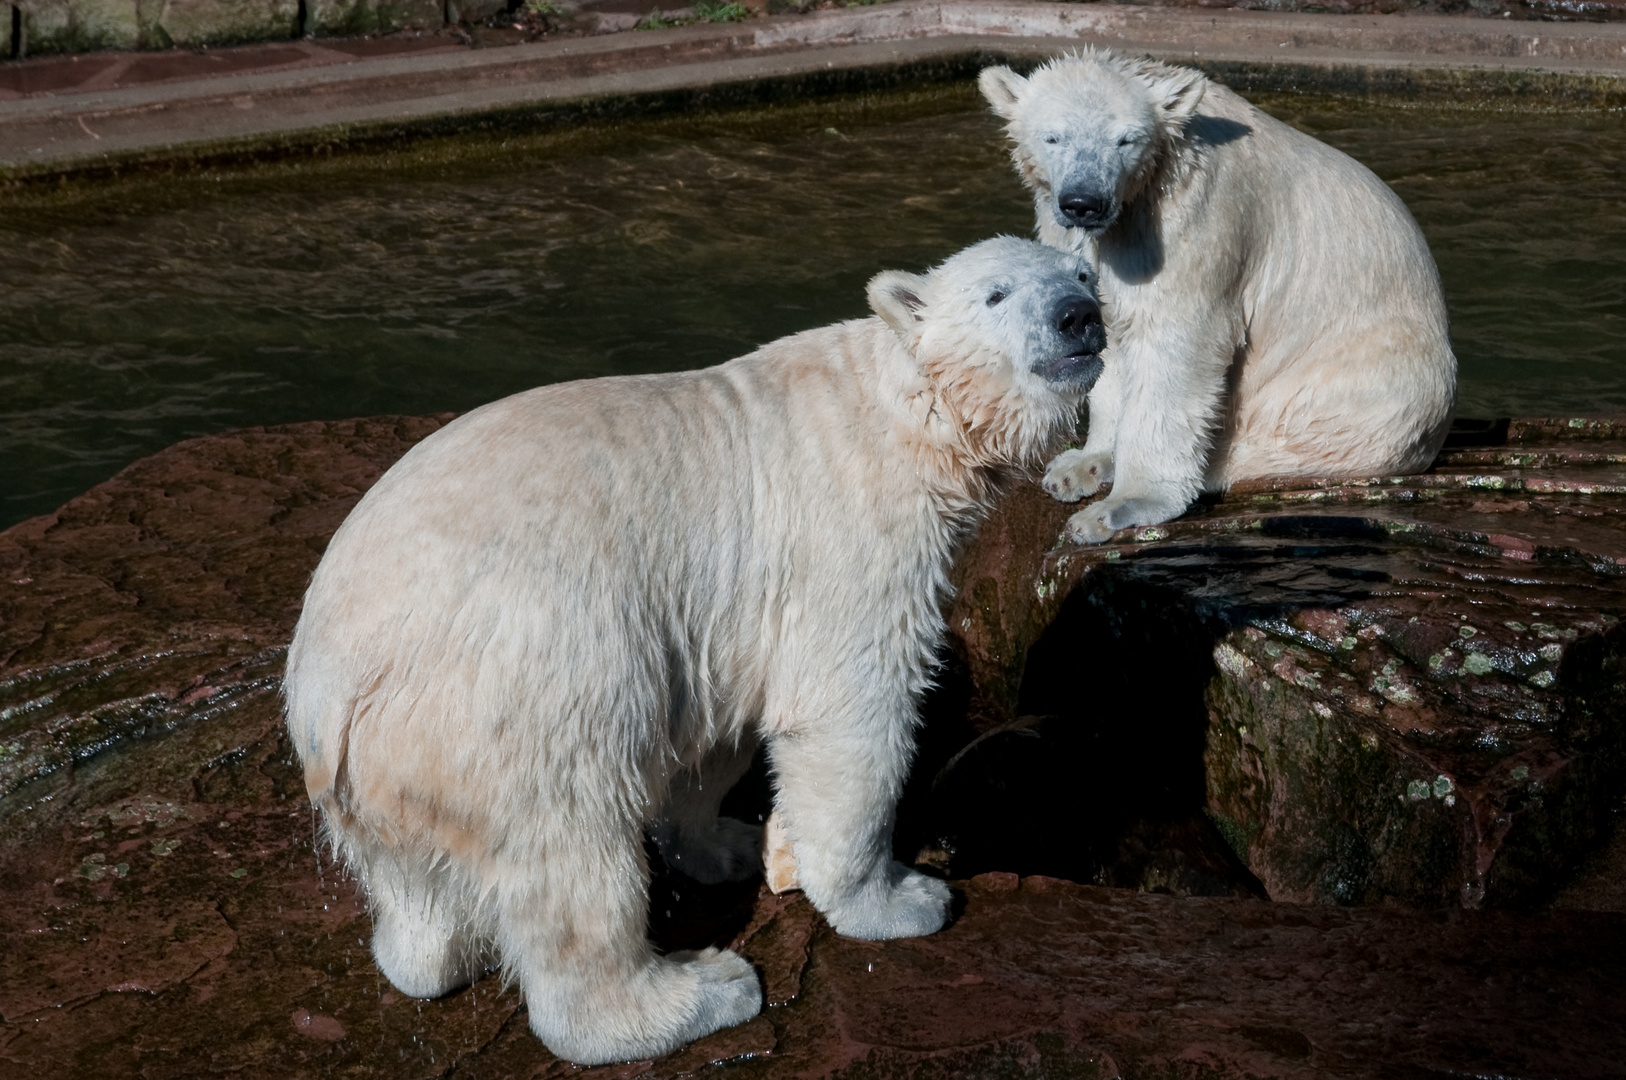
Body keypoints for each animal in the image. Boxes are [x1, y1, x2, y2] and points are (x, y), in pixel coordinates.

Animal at [286, 234, 1112, 1060]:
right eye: (996, 295)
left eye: (1082, 276)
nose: (1078, 317)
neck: (906, 413)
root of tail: (331, 695)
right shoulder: (847, 532)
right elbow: (849, 717)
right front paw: (900, 899)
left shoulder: (726, 612)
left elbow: (717, 726)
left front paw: (730, 843)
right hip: (517, 692)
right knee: (573, 852)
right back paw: (702, 992)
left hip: (394, 768)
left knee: (417, 883)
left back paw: (428, 954)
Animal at [975, 51, 1463, 543]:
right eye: (1052, 136)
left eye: (1126, 140)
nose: (1083, 202)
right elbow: (1107, 332)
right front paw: (1082, 464)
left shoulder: (1196, 219)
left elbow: (1176, 347)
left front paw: (1119, 505)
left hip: (1367, 380)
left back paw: (1213, 467)